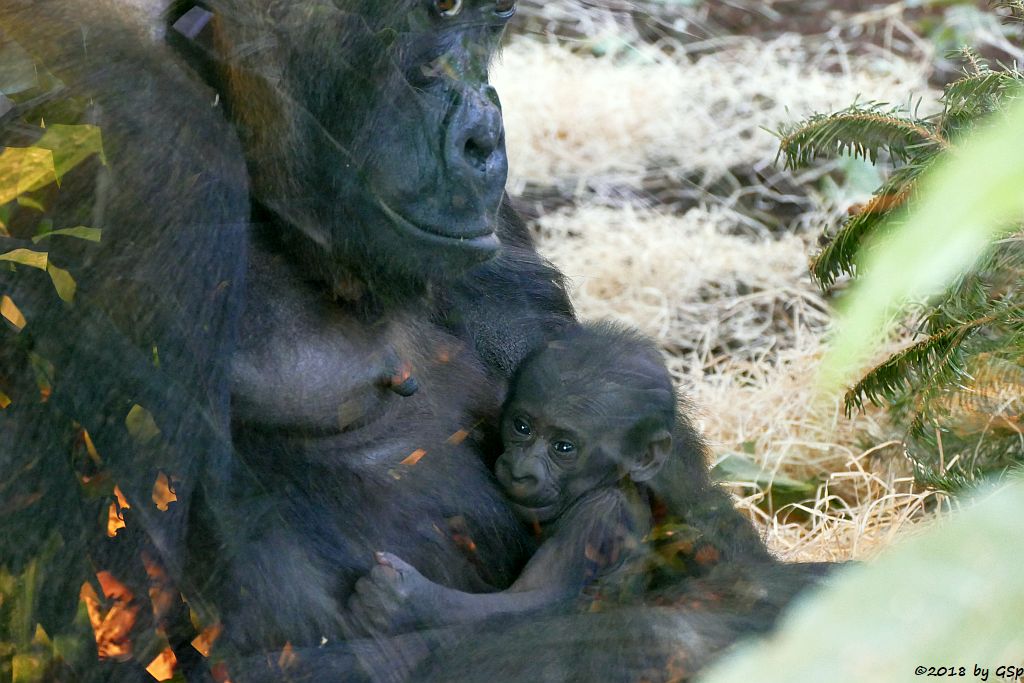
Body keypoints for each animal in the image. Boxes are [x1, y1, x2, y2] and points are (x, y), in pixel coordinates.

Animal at [350, 323, 679, 634]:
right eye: (522, 427)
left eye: (564, 447)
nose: (521, 470)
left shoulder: (598, 516)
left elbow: (534, 599)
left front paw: (407, 603)